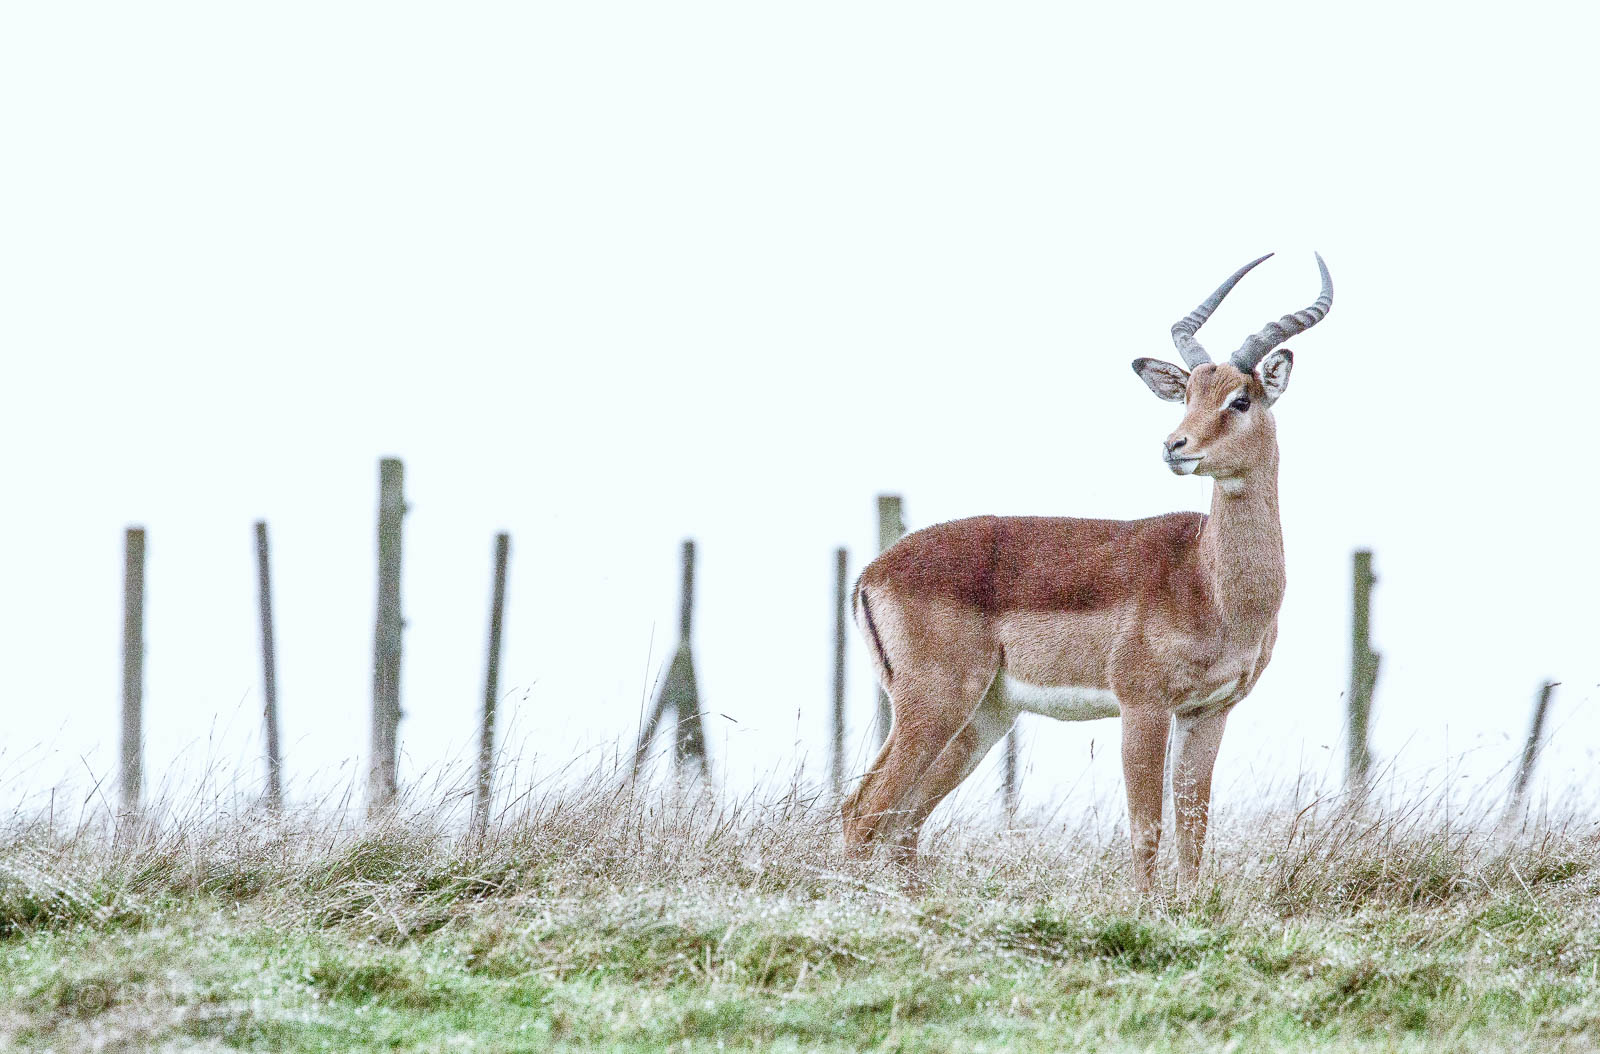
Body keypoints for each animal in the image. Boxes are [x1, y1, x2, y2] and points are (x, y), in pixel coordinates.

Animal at [841, 253, 1332, 891]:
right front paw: (1145, 910)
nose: (1175, 446)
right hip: (936, 704)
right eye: (1188, 394)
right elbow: (1147, 829)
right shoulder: (1143, 705)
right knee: (864, 809)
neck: (1209, 581)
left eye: (1239, 400)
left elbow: (1194, 832)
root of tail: (872, 572)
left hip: (982, 718)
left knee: (900, 821)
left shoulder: (1208, 711)